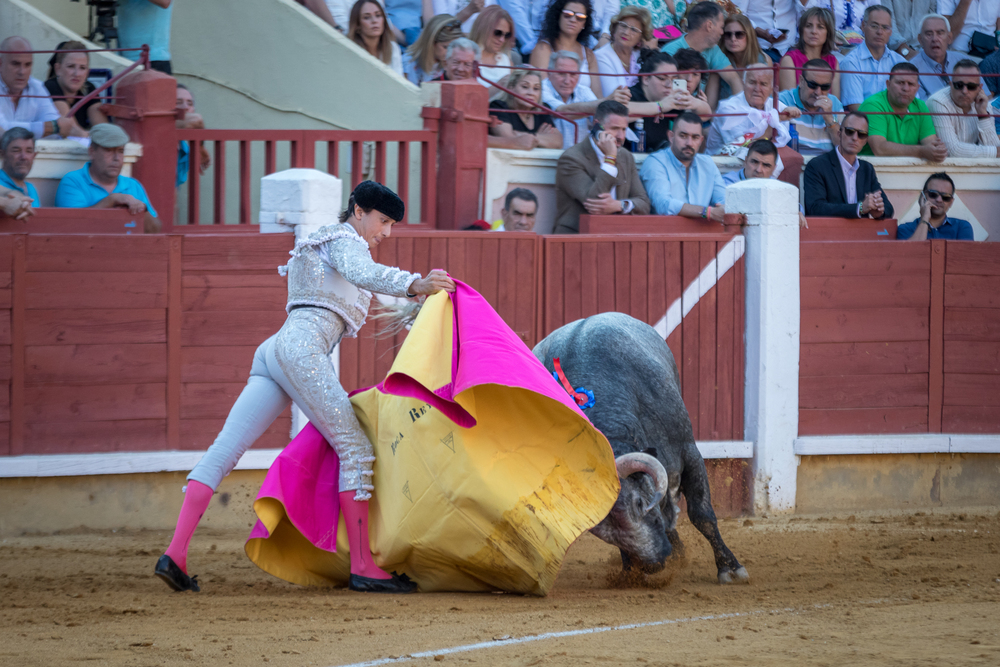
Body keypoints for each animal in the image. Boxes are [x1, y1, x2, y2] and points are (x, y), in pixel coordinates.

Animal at [536, 314, 748, 584]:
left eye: (638, 503)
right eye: (600, 532)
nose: (652, 564)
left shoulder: (690, 454)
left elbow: (702, 515)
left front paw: (729, 567)